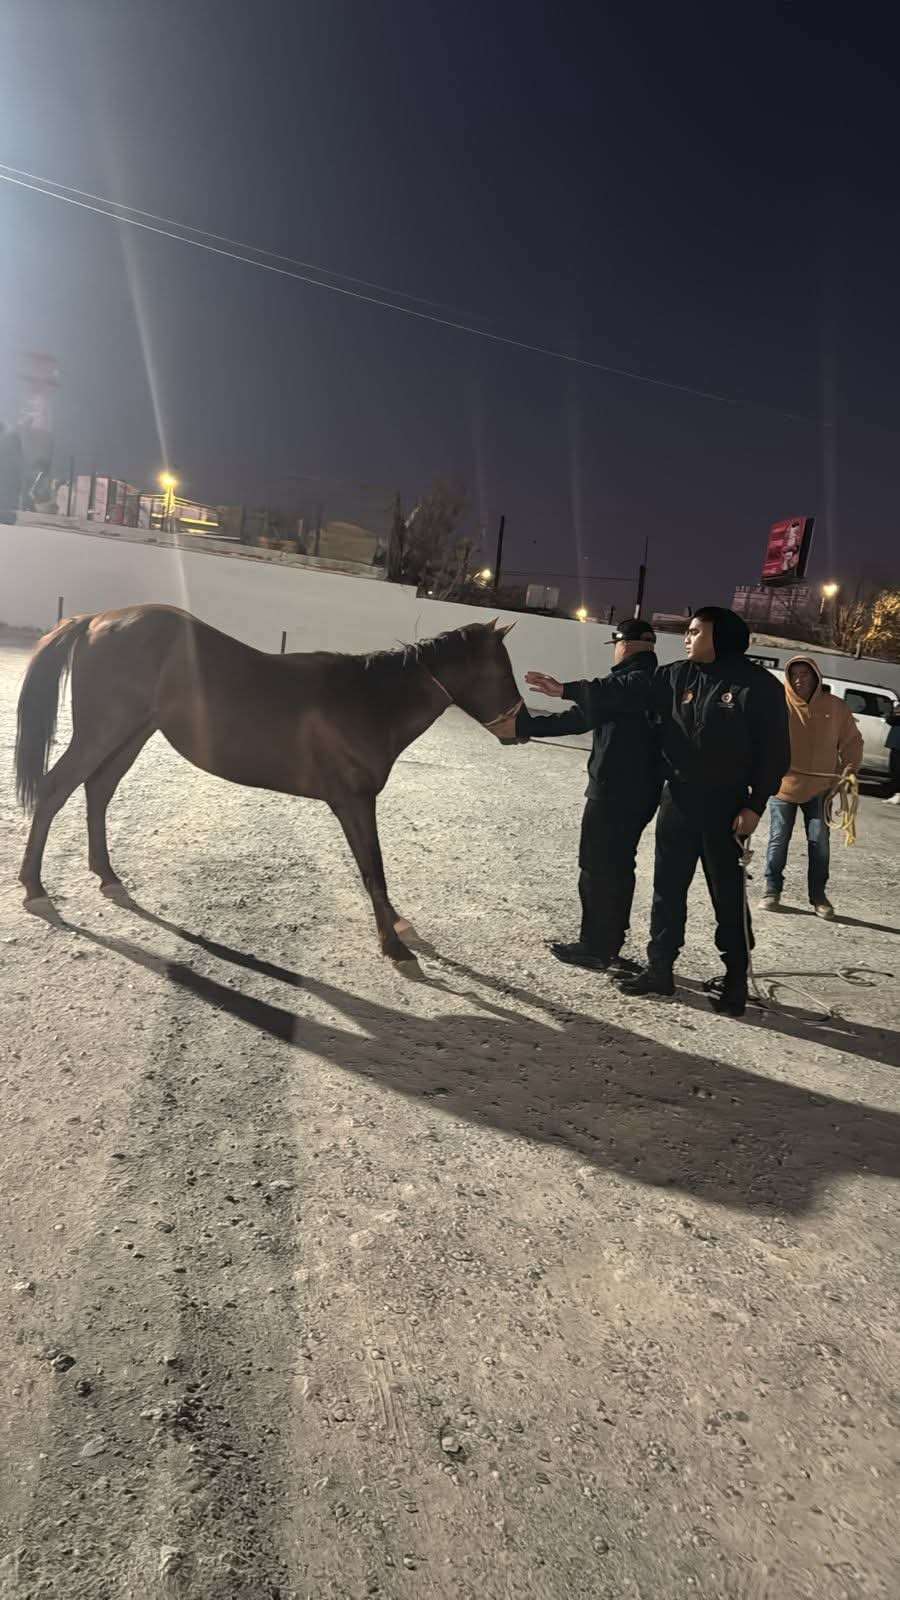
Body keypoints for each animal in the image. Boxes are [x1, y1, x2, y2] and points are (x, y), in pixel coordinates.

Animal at [14, 605, 523, 962]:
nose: (520, 729)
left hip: (132, 733)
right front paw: (394, 945)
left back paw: (109, 878)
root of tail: (96, 620)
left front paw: (399, 927)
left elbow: (372, 868)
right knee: (56, 789)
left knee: (98, 791)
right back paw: (36, 890)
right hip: (104, 731)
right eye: (501, 671)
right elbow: (372, 869)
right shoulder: (354, 801)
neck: (367, 702)